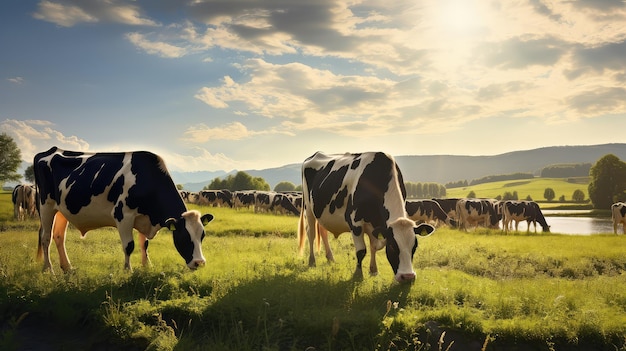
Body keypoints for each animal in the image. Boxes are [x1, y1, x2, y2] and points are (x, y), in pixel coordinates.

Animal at [33, 147, 214, 274]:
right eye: (183, 237)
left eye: (202, 236)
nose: (199, 263)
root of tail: (50, 150)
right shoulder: (123, 215)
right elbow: (129, 246)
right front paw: (128, 271)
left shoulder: (143, 216)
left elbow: (144, 244)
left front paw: (147, 266)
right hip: (46, 205)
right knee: (46, 238)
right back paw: (49, 270)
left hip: (62, 210)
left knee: (59, 236)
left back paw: (67, 268)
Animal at [298, 151, 434, 284]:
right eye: (392, 246)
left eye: (414, 246)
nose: (408, 277)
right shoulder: (355, 222)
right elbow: (361, 250)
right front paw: (358, 275)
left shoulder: (375, 225)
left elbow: (374, 246)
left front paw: (373, 270)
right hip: (308, 208)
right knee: (311, 233)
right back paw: (312, 261)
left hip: (322, 214)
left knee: (323, 232)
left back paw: (330, 258)